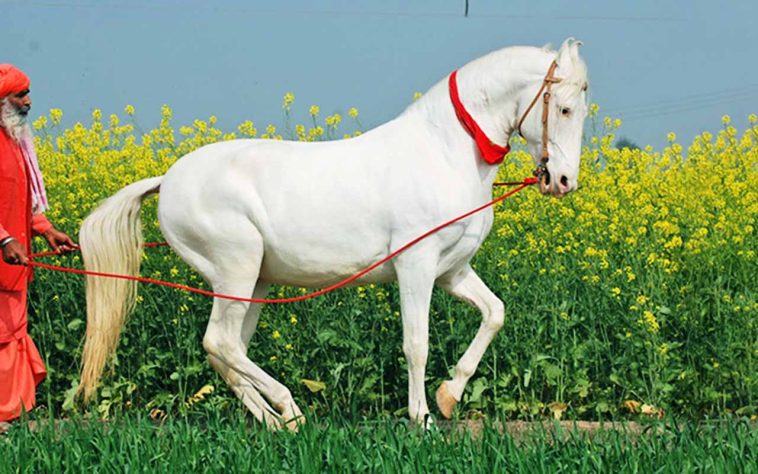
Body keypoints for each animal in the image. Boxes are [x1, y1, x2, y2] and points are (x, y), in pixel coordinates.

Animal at [77, 38, 589, 429]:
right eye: (564, 108)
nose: (564, 181)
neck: (445, 152)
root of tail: (167, 180)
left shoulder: (453, 271)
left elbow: (494, 313)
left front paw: (448, 397)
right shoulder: (416, 265)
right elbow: (416, 343)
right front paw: (422, 419)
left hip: (253, 282)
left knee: (225, 350)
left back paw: (276, 421)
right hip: (235, 268)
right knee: (220, 343)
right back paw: (288, 408)